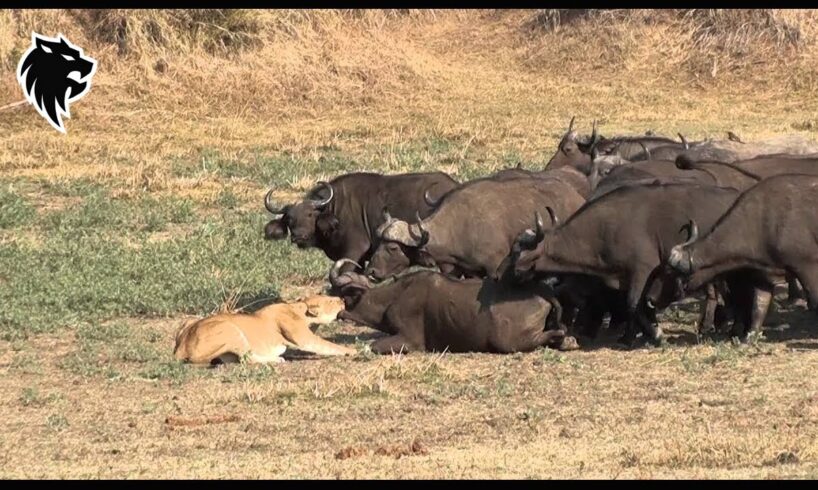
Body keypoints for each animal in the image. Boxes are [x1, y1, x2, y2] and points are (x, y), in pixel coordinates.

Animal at [328, 258, 572, 354]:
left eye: (340, 295)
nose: (337, 313)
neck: (395, 296)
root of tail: (542, 292)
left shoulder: (410, 341)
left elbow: (372, 346)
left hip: (507, 342)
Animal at [364, 177, 588, 284]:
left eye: (393, 247)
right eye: (379, 243)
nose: (371, 272)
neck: (458, 227)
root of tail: (577, 197)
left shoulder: (493, 268)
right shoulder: (461, 271)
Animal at [668, 173, 816, 336]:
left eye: (676, 273)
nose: (675, 293)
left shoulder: (807, 267)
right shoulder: (763, 276)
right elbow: (758, 307)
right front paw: (749, 335)